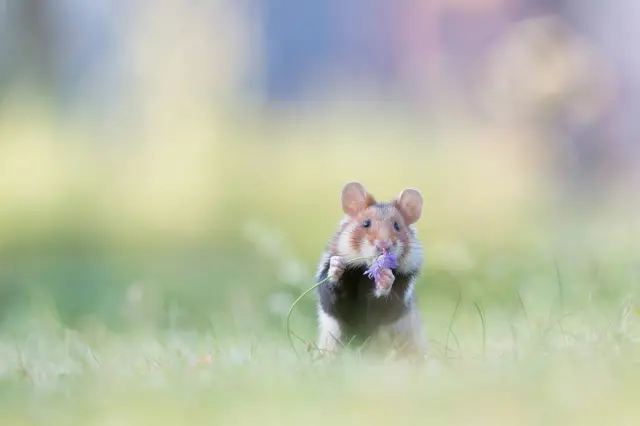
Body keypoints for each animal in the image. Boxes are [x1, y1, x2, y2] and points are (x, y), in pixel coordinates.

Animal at [315, 181, 427, 361]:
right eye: (366, 223)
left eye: (397, 226)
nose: (383, 245)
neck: (364, 273)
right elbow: (336, 299)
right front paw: (337, 265)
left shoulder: (401, 293)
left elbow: (384, 306)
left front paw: (385, 278)